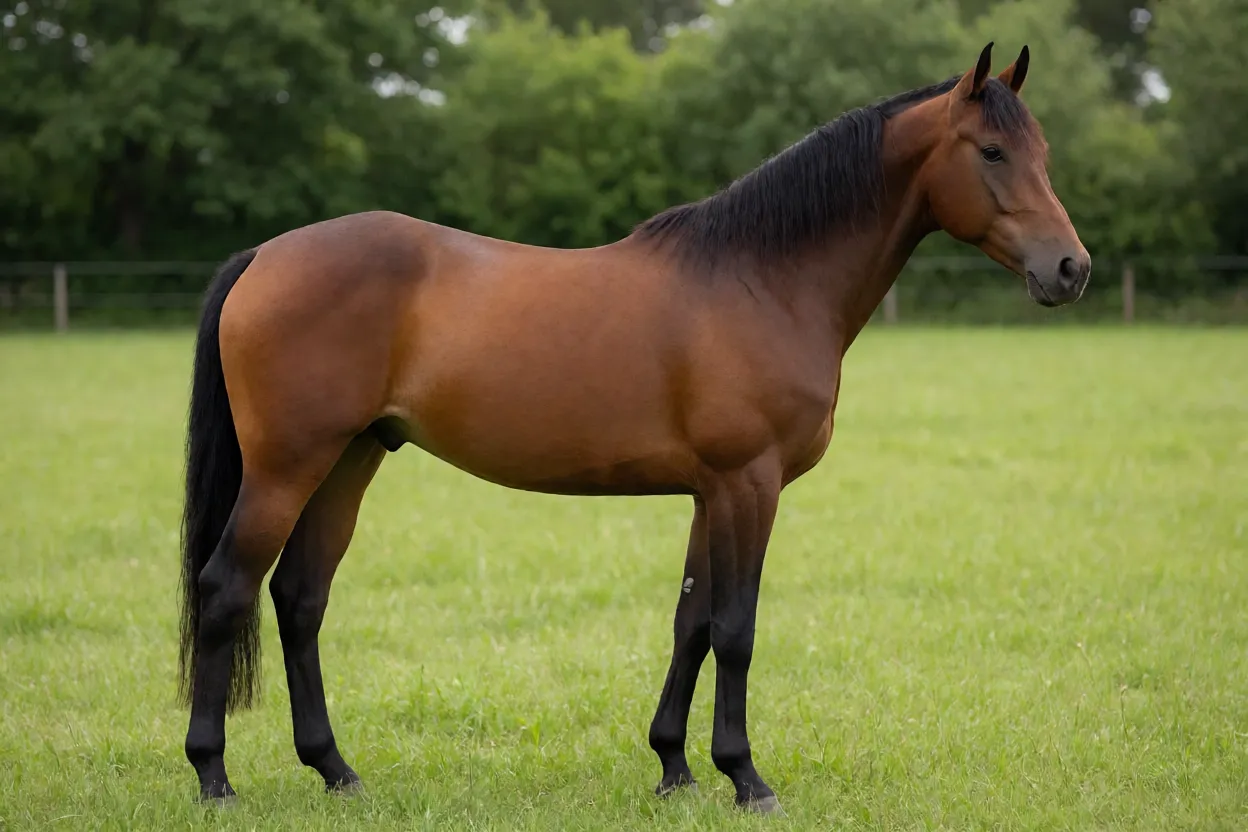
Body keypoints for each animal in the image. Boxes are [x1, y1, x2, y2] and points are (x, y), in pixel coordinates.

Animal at [177, 42, 1090, 814]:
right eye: (992, 152)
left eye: (1040, 152)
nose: (1070, 269)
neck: (763, 280)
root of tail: (264, 256)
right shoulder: (748, 484)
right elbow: (736, 628)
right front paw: (746, 778)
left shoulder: (709, 493)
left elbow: (692, 623)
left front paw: (675, 769)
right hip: (286, 468)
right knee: (226, 590)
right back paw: (214, 778)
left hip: (349, 461)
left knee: (300, 599)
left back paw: (336, 770)